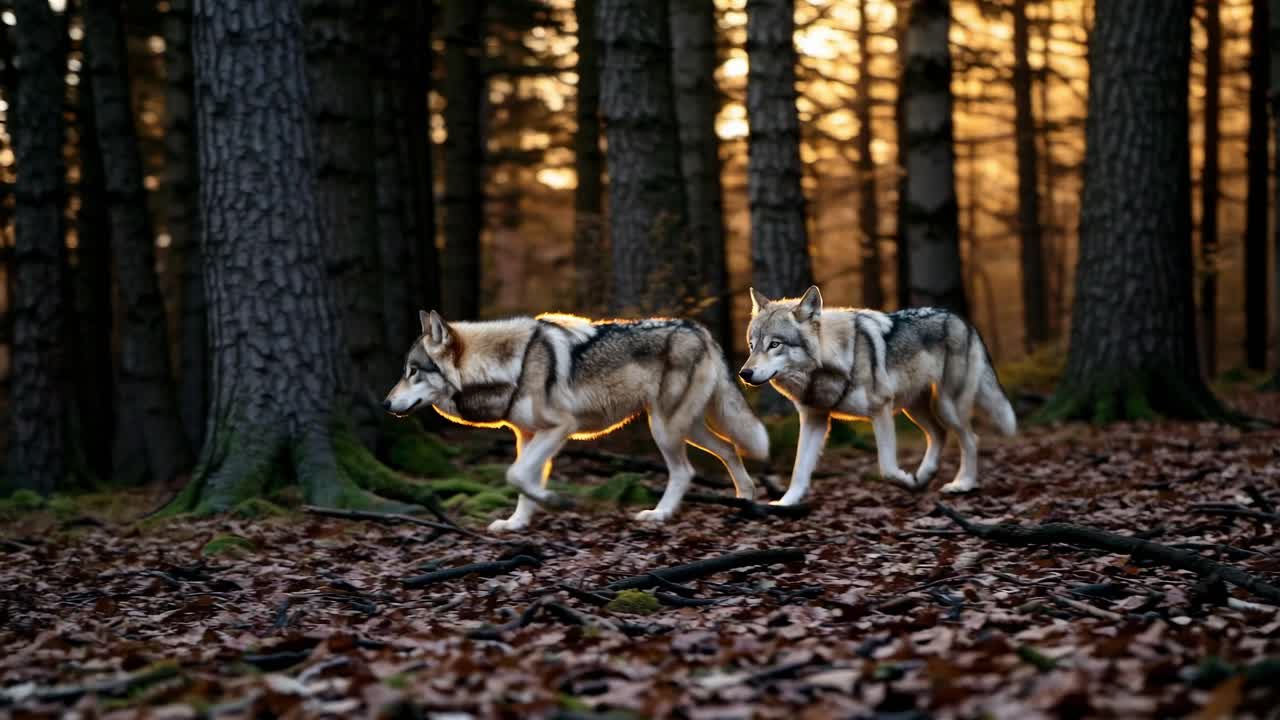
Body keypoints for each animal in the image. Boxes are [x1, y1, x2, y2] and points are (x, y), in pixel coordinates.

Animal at [383, 310, 769, 532]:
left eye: (412, 371)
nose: (386, 404)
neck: (512, 366)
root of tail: (698, 329)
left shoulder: (559, 428)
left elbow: (516, 475)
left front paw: (555, 501)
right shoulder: (528, 436)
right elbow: (522, 481)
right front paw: (517, 522)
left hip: (665, 428)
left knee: (685, 471)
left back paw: (659, 514)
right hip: (686, 427)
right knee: (729, 448)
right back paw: (745, 498)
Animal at [738, 286, 1016, 504]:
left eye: (775, 344)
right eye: (752, 346)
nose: (744, 373)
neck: (828, 367)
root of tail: (963, 321)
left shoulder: (880, 411)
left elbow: (887, 469)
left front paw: (906, 480)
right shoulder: (814, 420)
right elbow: (799, 471)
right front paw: (785, 504)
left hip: (946, 406)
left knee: (970, 438)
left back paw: (963, 483)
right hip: (914, 408)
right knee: (939, 434)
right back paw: (925, 476)